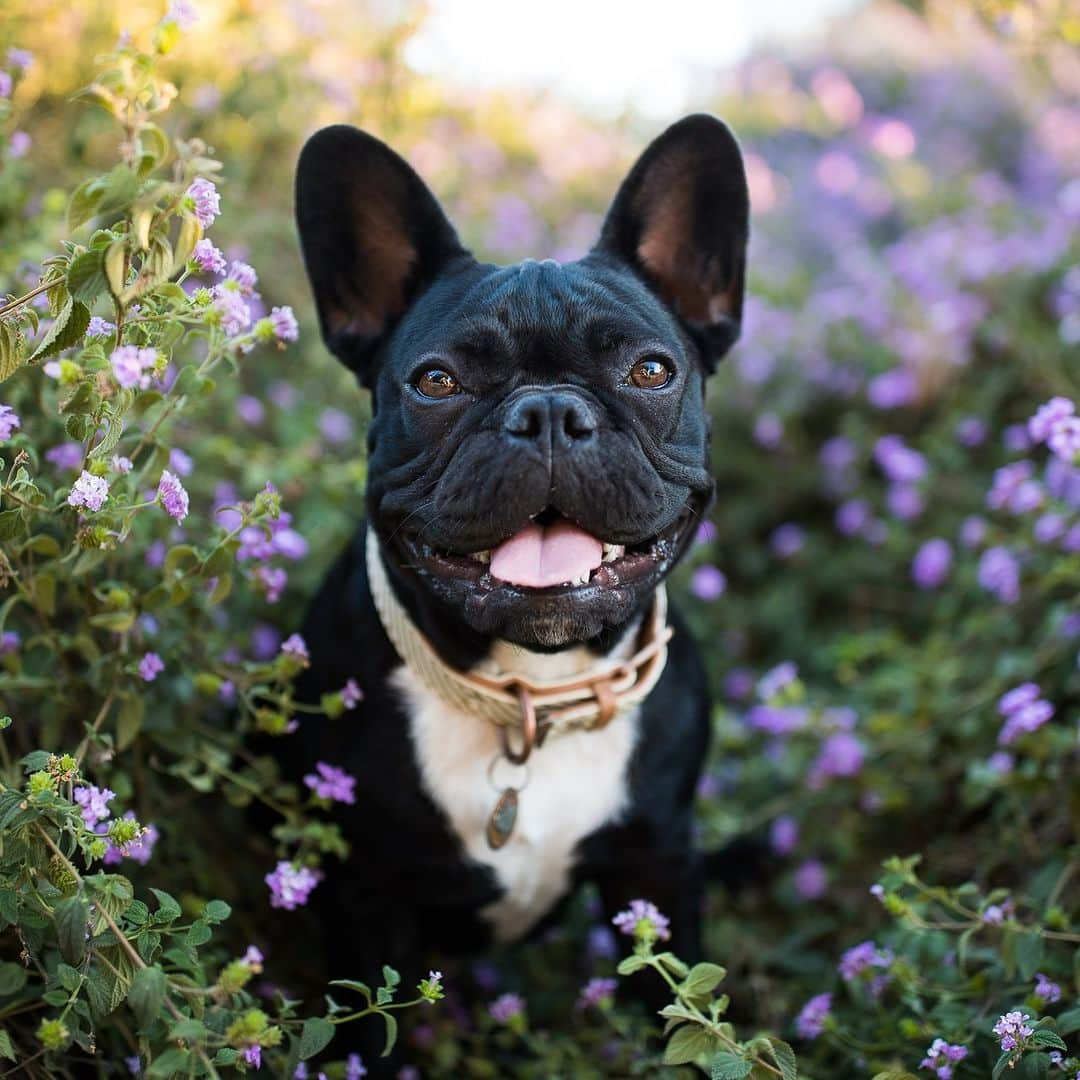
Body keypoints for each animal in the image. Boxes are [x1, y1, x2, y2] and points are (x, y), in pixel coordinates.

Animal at [287, 111, 751, 1062]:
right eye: (436, 381)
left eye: (651, 372)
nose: (547, 412)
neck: (531, 691)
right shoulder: (366, 901)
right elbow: (372, 1032)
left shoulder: (658, 866)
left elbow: (680, 1008)